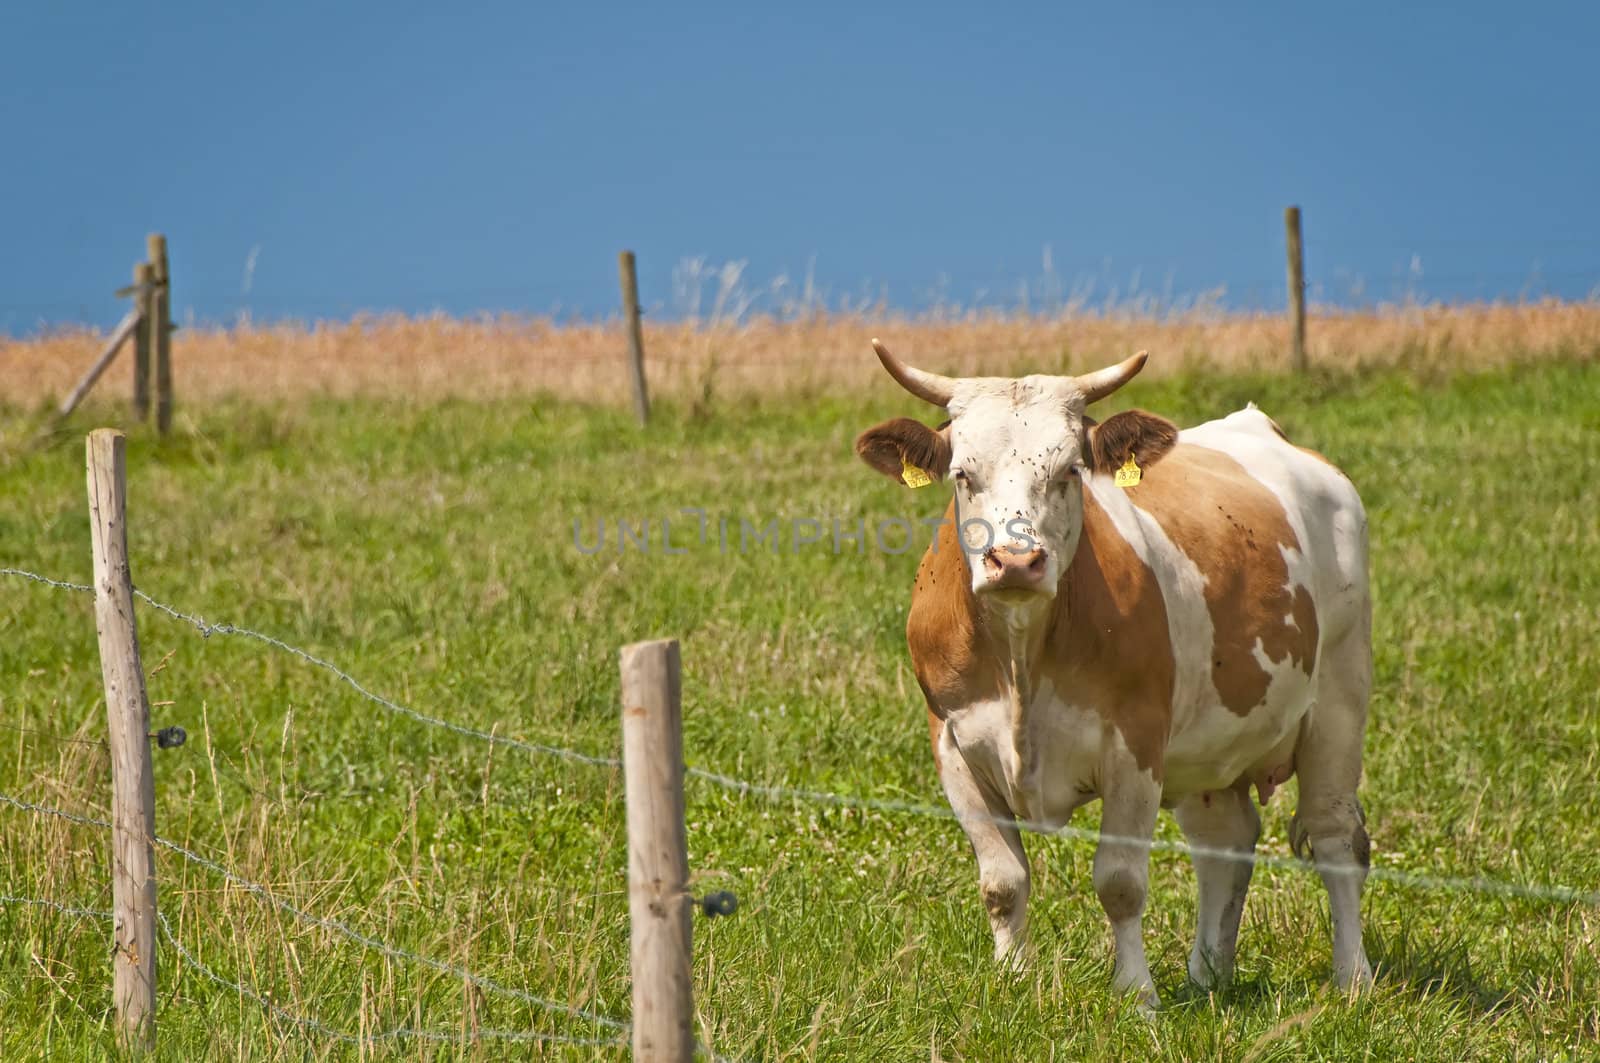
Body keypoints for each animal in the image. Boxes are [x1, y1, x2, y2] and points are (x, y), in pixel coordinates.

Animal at [857, 340, 1369, 1005]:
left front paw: (1136, 995)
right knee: (1223, 842)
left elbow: (1120, 883)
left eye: (1071, 471)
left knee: (1335, 838)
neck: (1022, 655)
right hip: (1211, 748)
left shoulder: (1136, 746)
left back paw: (1353, 979)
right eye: (963, 474)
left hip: (1339, 699)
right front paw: (1012, 982)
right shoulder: (952, 744)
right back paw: (1208, 974)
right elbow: (1002, 881)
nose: (1015, 561)